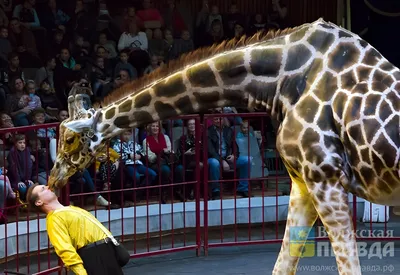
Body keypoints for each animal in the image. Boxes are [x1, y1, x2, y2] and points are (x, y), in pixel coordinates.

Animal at [47, 18, 400, 274]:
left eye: (70, 138)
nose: (51, 180)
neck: (280, 83)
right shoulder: (304, 182)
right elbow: (283, 263)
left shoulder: (325, 177)